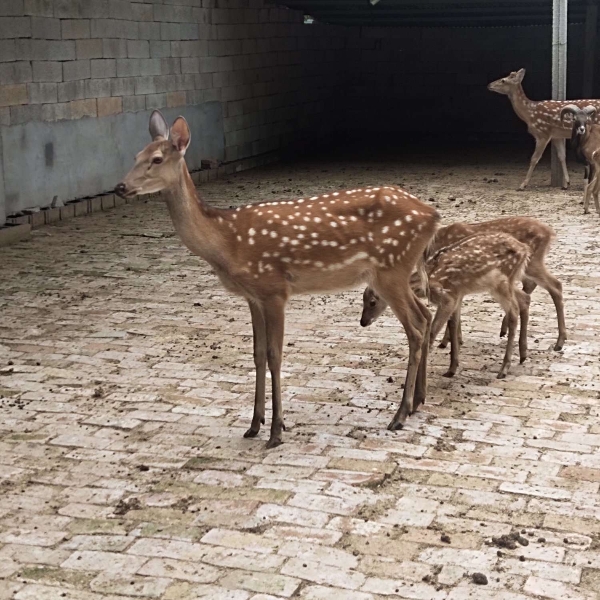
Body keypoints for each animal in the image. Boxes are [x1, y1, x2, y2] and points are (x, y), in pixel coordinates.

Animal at [115, 110, 440, 448]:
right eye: (135, 155)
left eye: (156, 159)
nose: (120, 187)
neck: (227, 243)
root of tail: (433, 215)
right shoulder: (253, 296)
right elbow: (257, 355)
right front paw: (253, 424)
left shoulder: (274, 289)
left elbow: (275, 356)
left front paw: (276, 430)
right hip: (393, 273)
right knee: (425, 315)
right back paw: (418, 402)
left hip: (391, 269)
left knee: (416, 328)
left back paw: (400, 414)